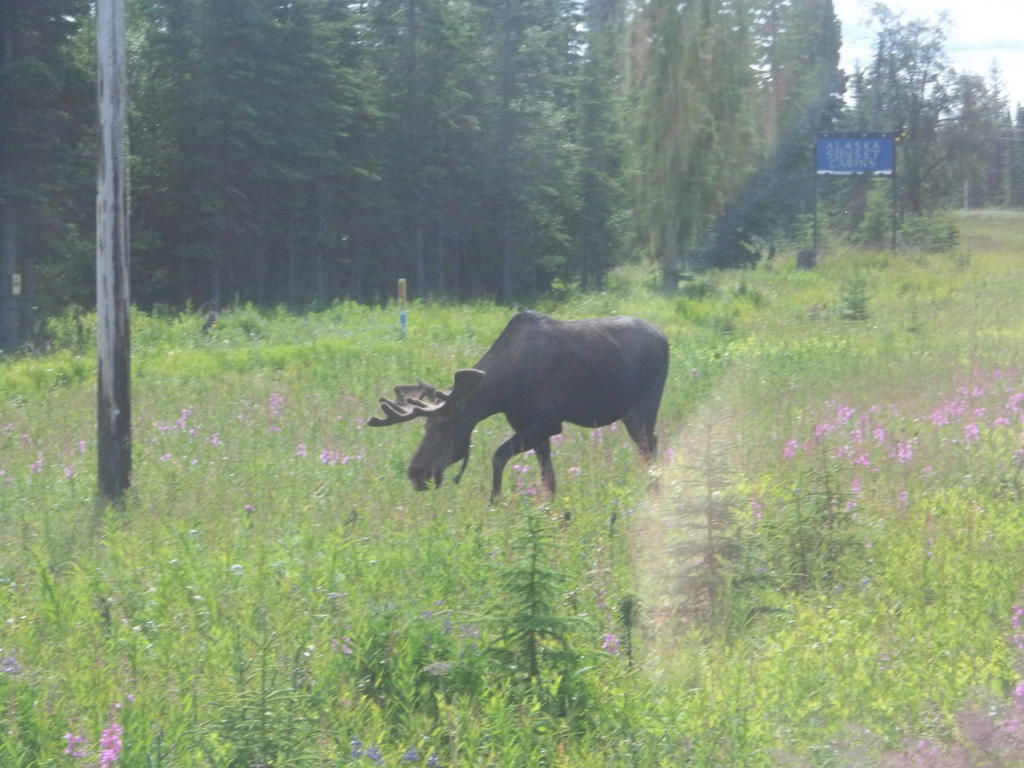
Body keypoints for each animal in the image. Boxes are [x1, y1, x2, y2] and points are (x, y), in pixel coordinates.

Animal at [368, 313, 671, 499]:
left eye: (445, 424)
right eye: (425, 426)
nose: (416, 473)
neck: (502, 391)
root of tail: (665, 339)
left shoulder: (548, 422)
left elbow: (498, 456)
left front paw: (495, 501)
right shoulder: (531, 428)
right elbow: (549, 480)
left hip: (644, 406)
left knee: (650, 447)